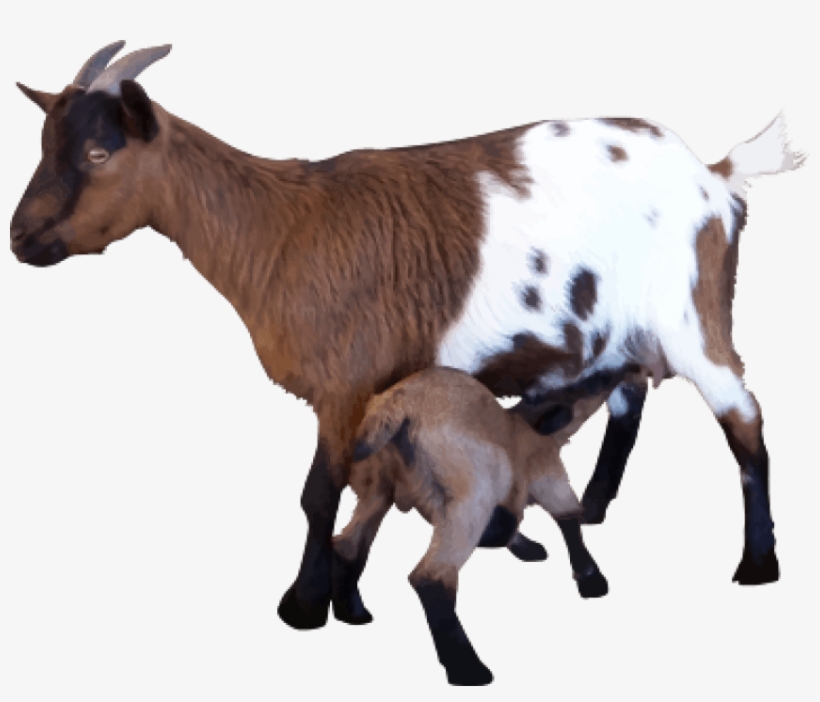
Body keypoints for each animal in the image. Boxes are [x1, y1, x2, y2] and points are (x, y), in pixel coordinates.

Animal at [11, 42, 803, 633]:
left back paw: (758, 565)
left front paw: (305, 605)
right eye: (48, 143)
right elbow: (365, 490)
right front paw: (345, 595)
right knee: (629, 399)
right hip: (621, 328)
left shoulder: (346, 385)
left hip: (695, 317)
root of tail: (715, 176)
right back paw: (596, 507)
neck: (278, 232)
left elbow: (318, 493)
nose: (20, 239)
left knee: (743, 420)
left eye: (98, 154)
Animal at [338, 367, 613, 686]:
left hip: (376, 486)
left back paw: (352, 612)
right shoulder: (548, 477)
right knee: (430, 575)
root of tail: (397, 405)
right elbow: (568, 517)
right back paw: (468, 668)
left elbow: (510, 523)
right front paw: (592, 580)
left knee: (348, 544)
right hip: (471, 493)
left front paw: (524, 546)